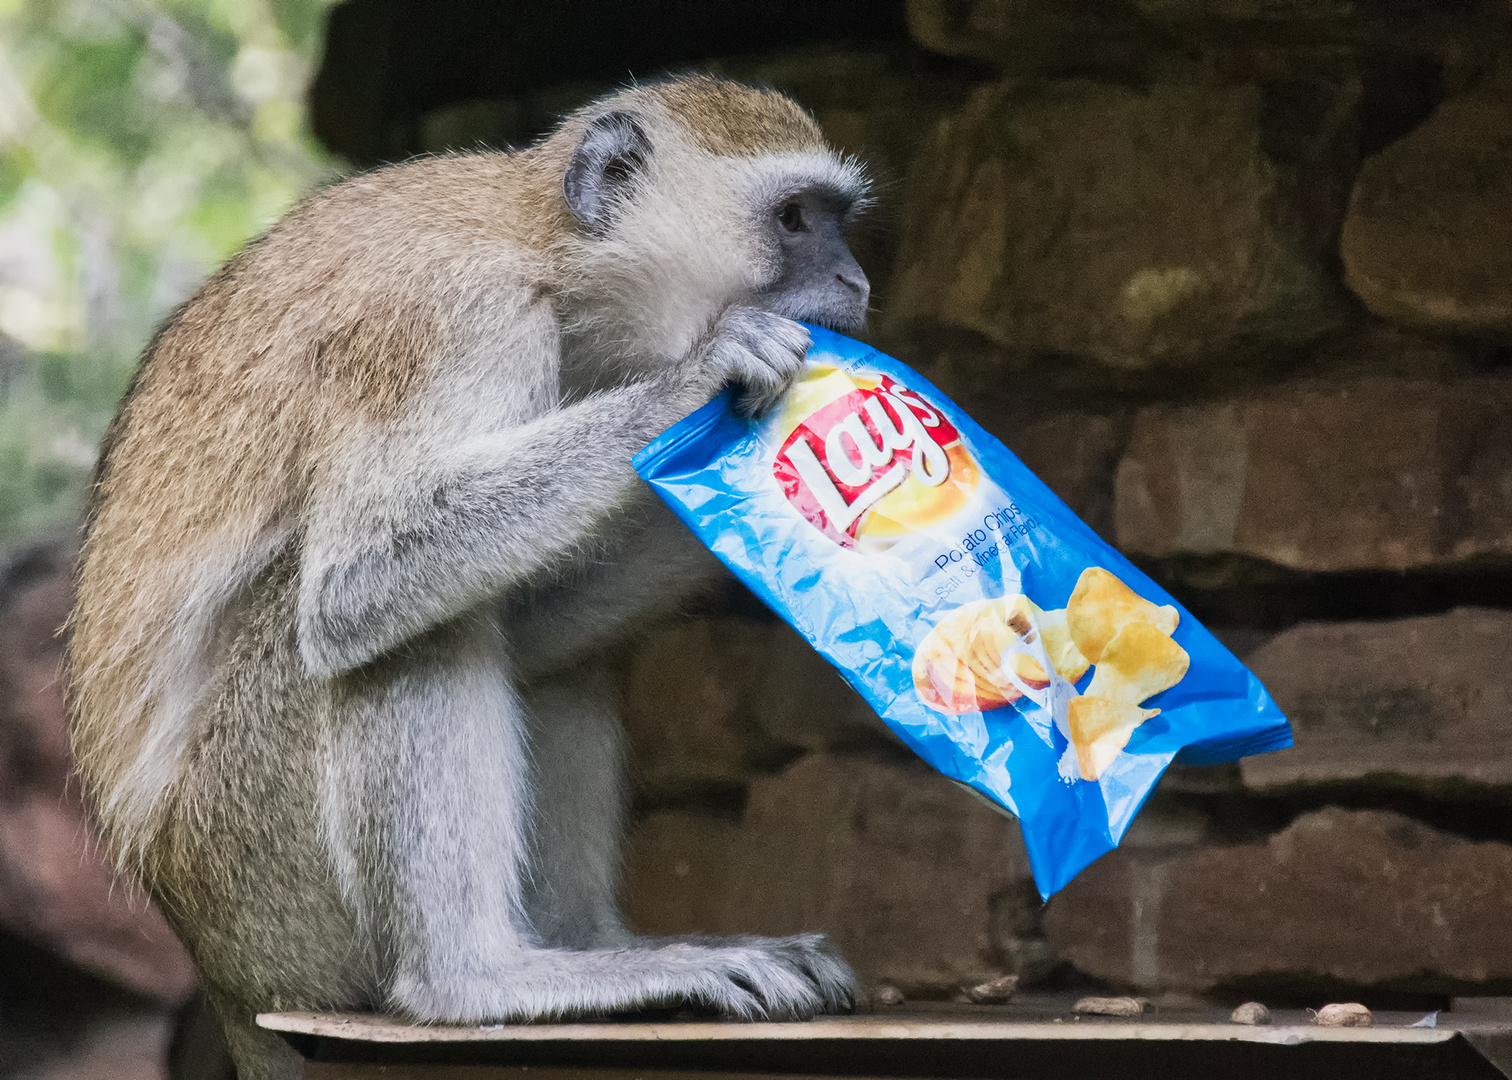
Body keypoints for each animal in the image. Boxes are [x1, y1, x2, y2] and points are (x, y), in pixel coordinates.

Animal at [71, 77, 876, 1076]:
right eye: (796, 219)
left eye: (838, 220)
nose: (858, 284)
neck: (549, 254)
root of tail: (219, 973)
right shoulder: (448, 322)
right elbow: (355, 582)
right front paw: (694, 384)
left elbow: (521, 622)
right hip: (264, 888)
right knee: (406, 631)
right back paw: (477, 981)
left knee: (539, 654)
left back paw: (596, 948)